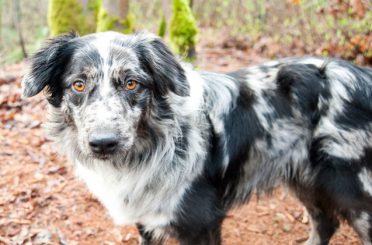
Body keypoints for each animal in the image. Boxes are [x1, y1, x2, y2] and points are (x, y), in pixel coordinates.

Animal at [22, 31, 372, 245]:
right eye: (78, 85)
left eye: (132, 84)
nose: (104, 143)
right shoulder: (147, 220)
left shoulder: (201, 223)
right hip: (304, 178)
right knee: (325, 223)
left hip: (353, 190)